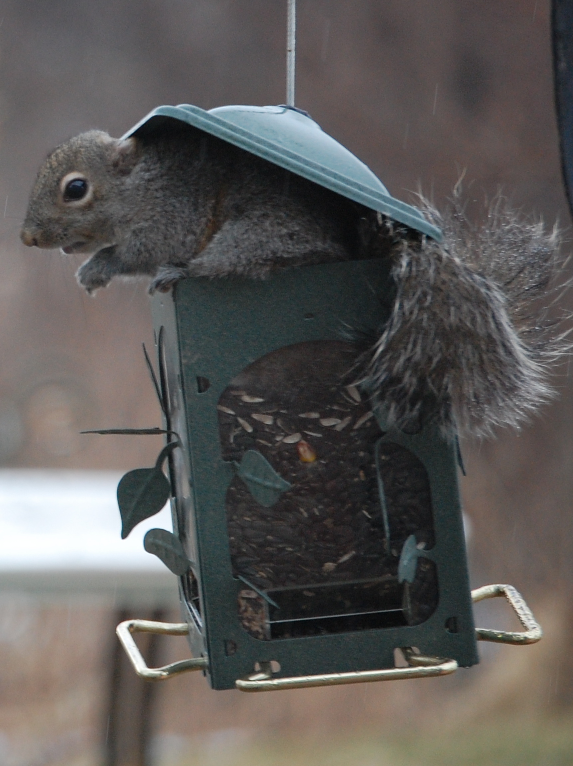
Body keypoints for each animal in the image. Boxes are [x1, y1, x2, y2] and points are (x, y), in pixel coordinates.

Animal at [20, 119, 567, 439]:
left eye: (76, 189)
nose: (27, 237)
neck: (137, 188)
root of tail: (345, 250)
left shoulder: (171, 218)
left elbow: (137, 254)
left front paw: (99, 268)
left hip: (252, 236)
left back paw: (184, 272)